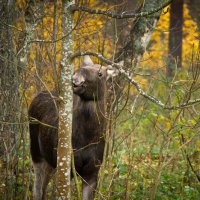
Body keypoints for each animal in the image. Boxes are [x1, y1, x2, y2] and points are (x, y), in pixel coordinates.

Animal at [28, 55, 118, 200]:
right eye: (82, 67)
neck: (89, 136)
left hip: (50, 161)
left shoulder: (92, 172)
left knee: (43, 187)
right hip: (36, 152)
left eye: (100, 74)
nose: (77, 76)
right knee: (37, 190)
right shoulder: (68, 168)